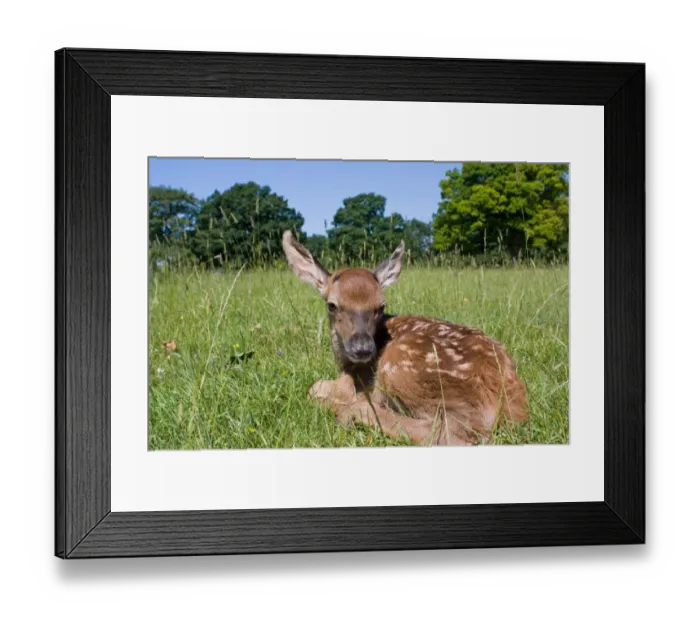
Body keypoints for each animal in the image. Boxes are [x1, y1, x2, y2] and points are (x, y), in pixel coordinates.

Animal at [281, 230, 529, 446]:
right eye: (332, 305)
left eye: (381, 306)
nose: (363, 349)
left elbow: (315, 388)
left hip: (401, 365)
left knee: (448, 433)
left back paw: (350, 411)